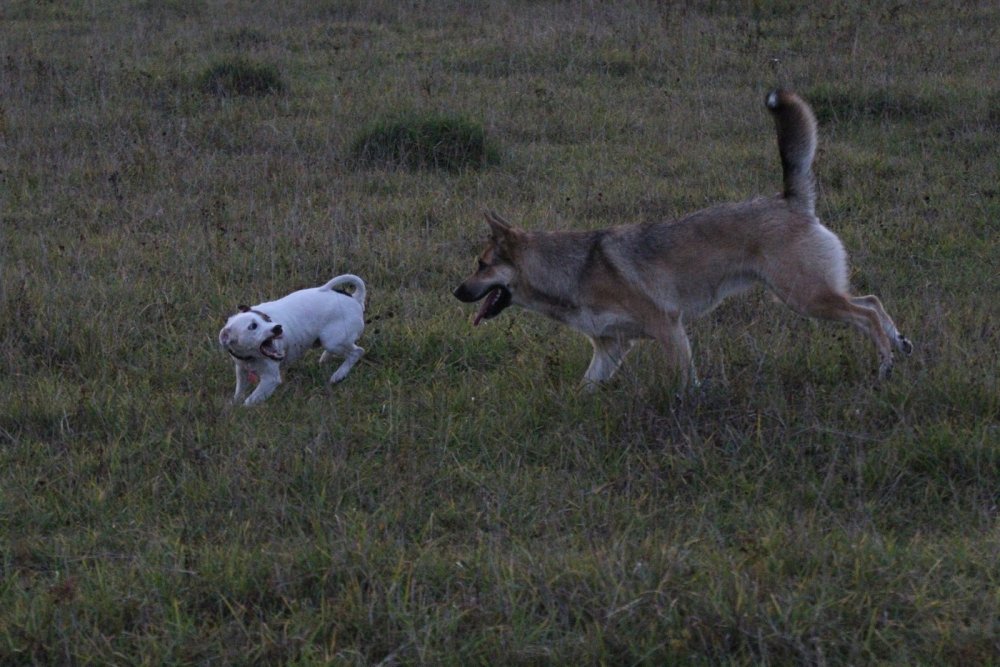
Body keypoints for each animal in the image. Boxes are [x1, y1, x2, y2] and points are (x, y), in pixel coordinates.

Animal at [219, 274, 366, 406]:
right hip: (332, 341)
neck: (249, 357)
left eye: (267, 319)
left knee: (357, 352)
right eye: (253, 326)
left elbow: (249, 401)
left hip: (333, 342)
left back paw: (339, 374)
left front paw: (241, 410)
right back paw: (325, 360)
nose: (278, 327)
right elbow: (239, 392)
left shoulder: (270, 380)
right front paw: (234, 403)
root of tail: (354, 298)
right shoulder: (241, 369)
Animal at [454, 90, 912, 389]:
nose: (456, 292)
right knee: (872, 302)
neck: (572, 272)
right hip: (813, 294)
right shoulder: (610, 349)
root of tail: (791, 200)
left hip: (806, 298)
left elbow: (685, 383)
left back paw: (886, 367)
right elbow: (585, 388)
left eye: (481, 264)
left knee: (866, 312)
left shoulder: (669, 329)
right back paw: (900, 345)